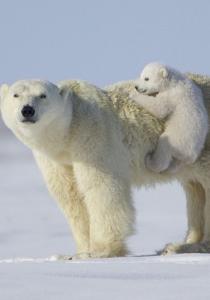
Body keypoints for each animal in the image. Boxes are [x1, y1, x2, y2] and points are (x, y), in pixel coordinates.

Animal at [0, 74, 209, 258]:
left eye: (42, 95)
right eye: (16, 95)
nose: (27, 110)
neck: (68, 132)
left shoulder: (93, 136)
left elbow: (101, 188)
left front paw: (102, 251)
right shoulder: (55, 159)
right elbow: (70, 196)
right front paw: (77, 253)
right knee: (195, 190)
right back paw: (182, 244)